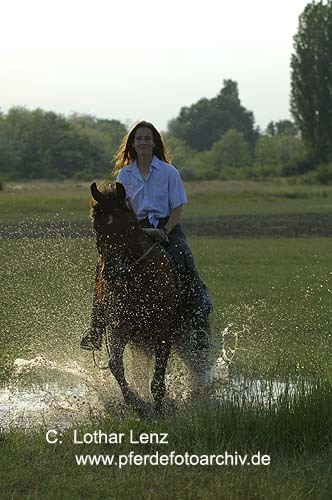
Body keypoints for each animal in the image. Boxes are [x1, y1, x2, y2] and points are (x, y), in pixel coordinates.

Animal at [89, 182, 183, 412]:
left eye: (127, 226)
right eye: (97, 228)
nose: (110, 273)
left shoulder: (164, 329)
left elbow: (159, 373)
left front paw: (158, 409)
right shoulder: (119, 327)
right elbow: (115, 364)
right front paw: (135, 403)